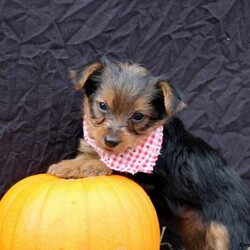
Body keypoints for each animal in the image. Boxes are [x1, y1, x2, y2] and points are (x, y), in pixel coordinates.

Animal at [47, 58, 249, 250]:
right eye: (102, 106)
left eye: (138, 116)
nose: (110, 141)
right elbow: (92, 154)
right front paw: (73, 163)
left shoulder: (145, 170)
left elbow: (106, 162)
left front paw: (71, 166)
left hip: (226, 232)